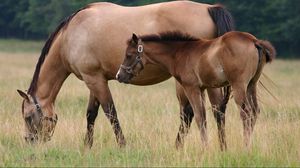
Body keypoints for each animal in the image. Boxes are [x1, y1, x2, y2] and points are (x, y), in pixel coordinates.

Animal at [17, 0, 234, 150]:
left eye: (28, 117)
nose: (29, 142)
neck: (71, 36)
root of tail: (209, 8)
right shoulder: (95, 79)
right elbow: (91, 114)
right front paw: (87, 146)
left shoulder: (93, 79)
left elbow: (110, 112)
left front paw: (122, 145)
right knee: (216, 110)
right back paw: (221, 147)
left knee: (192, 113)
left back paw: (180, 146)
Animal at [116, 31, 276, 148]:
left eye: (129, 55)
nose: (119, 75)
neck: (180, 53)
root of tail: (254, 41)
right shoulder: (202, 88)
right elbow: (204, 116)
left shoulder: (191, 88)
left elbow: (199, 117)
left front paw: (205, 148)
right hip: (251, 85)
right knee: (254, 111)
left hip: (239, 85)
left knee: (246, 112)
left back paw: (246, 147)